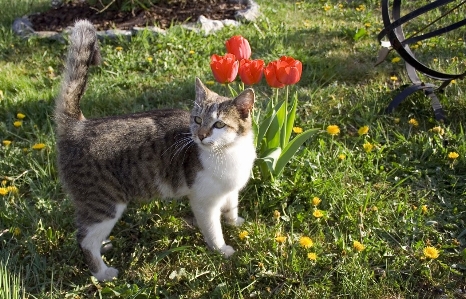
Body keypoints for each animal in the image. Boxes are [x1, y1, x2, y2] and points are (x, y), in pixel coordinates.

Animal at [56, 19, 256, 282]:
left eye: (219, 124)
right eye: (197, 119)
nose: (201, 135)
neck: (228, 153)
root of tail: (79, 126)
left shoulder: (230, 190)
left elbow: (231, 207)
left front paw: (235, 222)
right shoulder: (204, 202)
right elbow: (213, 230)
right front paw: (221, 250)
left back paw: (104, 245)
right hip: (103, 202)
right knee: (84, 239)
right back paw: (102, 273)